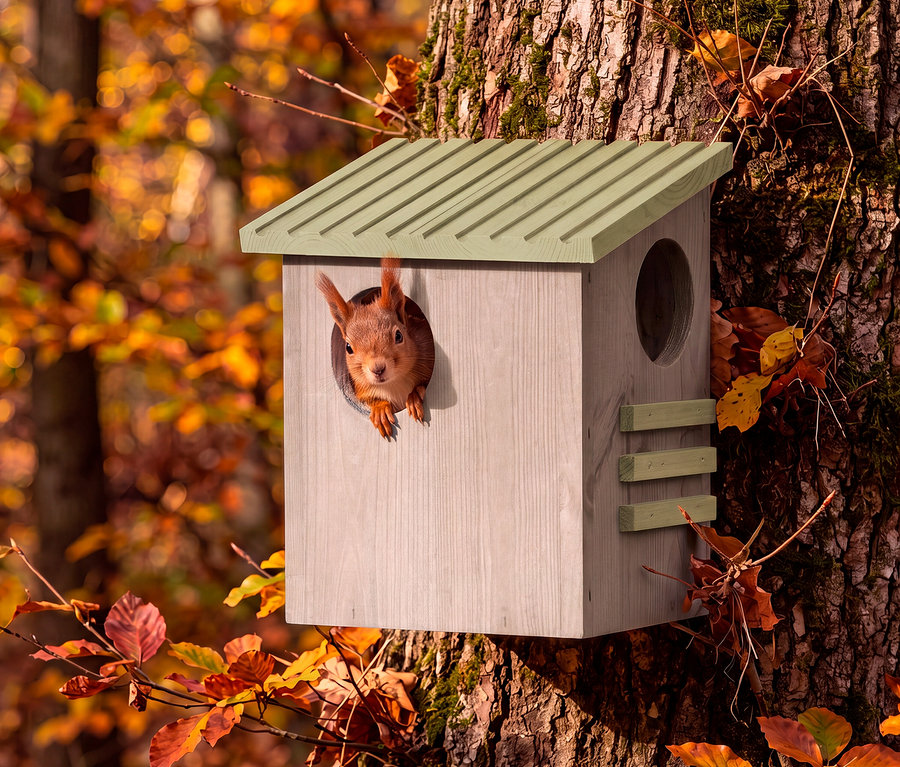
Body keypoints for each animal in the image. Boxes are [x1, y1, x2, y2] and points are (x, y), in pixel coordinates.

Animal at [315, 258, 433, 439]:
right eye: (348, 347)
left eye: (399, 336)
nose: (378, 369)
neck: (393, 384)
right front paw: (380, 409)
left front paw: (413, 397)